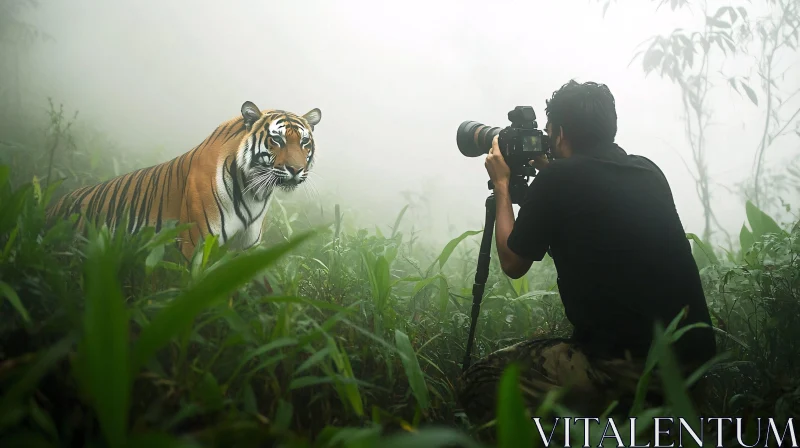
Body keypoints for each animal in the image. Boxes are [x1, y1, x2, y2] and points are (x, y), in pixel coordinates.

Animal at [46, 100, 322, 262]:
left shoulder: (242, 253)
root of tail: (55, 203)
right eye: (277, 140)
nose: (295, 169)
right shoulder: (194, 246)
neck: (255, 193)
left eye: (304, 142)